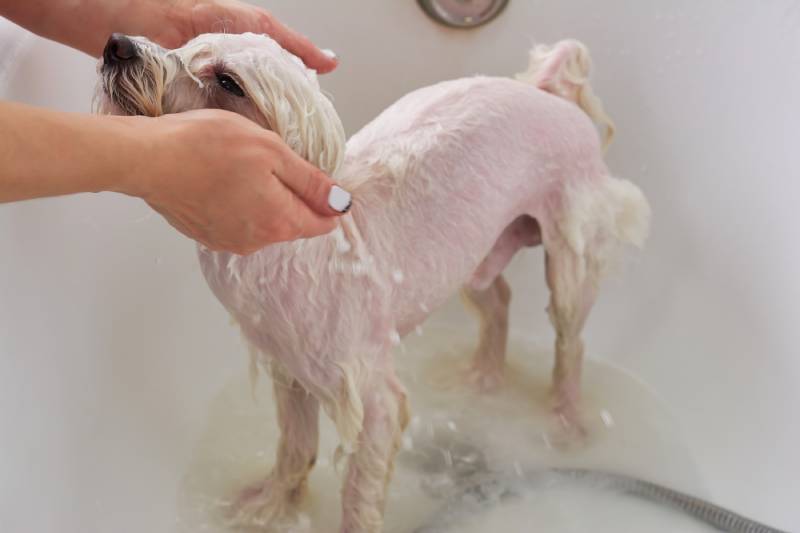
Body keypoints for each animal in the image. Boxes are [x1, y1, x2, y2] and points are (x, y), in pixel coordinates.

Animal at [97, 31, 652, 528]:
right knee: (498, 302)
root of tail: (543, 88)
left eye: (229, 81)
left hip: (568, 248)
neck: (299, 248)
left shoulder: (375, 402)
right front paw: (271, 507)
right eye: (185, 47)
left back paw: (567, 423)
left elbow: (359, 496)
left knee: (570, 341)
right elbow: (295, 447)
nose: (117, 44)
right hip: (470, 252)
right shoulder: (289, 368)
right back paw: (481, 378)